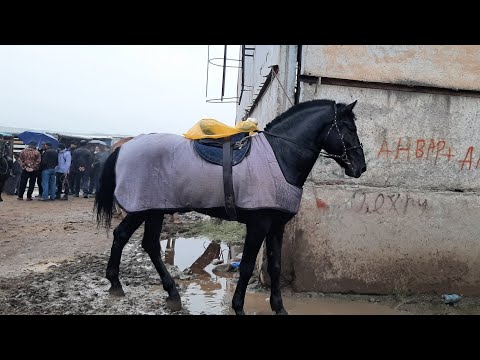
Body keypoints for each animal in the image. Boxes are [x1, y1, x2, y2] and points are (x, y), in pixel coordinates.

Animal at [94, 99, 368, 316]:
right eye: (349, 128)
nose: (360, 166)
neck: (280, 156)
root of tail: (124, 146)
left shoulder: (277, 227)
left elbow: (275, 266)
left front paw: (279, 307)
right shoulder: (259, 224)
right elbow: (246, 267)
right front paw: (238, 307)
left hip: (152, 210)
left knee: (139, 241)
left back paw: (157, 292)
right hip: (145, 209)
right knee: (132, 239)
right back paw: (127, 286)